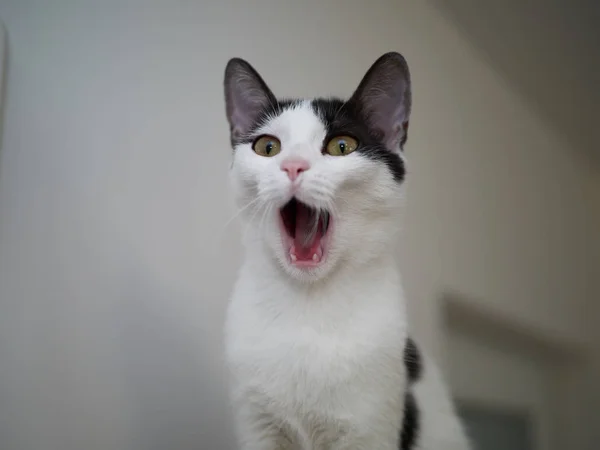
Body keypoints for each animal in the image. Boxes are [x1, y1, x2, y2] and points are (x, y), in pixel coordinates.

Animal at [223, 52, 472, 450]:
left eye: (342, 146)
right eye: (267, 147)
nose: (293, 166)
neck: (307, 307)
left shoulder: (370, 428)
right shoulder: (256, 424)